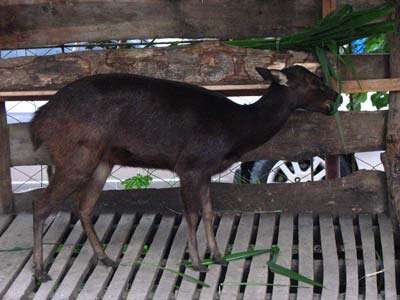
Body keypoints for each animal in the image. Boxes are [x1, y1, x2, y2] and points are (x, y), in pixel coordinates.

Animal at [29, 65, 340, 282]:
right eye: (313, 81)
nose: (336, 95)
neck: (235, 132)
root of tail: (38, 120)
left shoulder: (205, 171)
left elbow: (209, 212)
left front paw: (219, 257)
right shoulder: (189, 165)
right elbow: (191, 215)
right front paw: (198, 263)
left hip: (101, 160)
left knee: (84, 206)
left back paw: (105, 258)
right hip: (76, 155)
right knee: (41, 205)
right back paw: (41, 271)